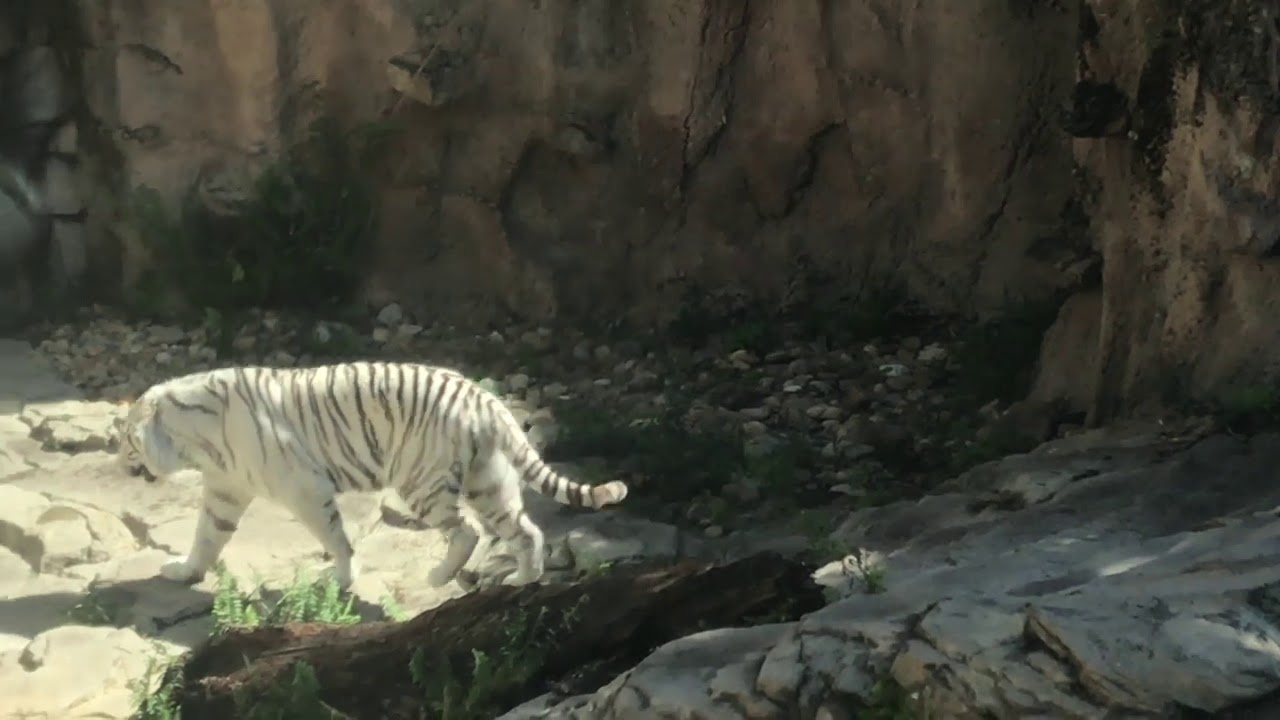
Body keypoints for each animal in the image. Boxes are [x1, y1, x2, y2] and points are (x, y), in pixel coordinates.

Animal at [111, 361, 629, 590]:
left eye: (125, 442)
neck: (194, 439)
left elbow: (335, 536)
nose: (117, 466)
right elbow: (207, 535)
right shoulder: (225, 489)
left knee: (465, 531)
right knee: (524, 530)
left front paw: (342, 581)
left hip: (422, 481)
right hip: (489, 480)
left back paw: (438, 577)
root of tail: (483, 396)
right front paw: (184, 571)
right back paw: (524, 578)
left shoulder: (304, 487)